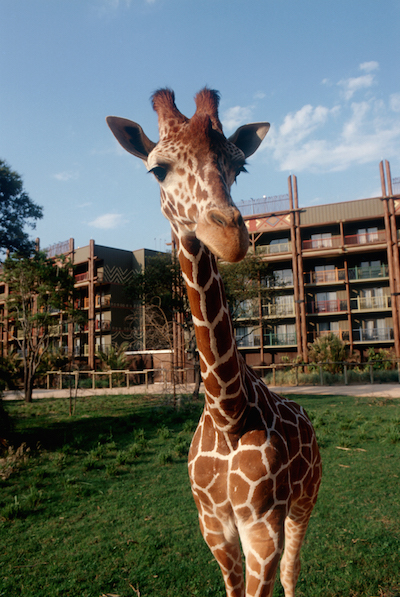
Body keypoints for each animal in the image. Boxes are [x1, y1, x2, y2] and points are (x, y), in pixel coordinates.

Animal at [106, 88, 322, 596]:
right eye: (157, 169)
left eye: (238, 168)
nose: (229, 235)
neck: (228, 414)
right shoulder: (213, 526)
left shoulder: (262, 528)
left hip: (305, 500)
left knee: (293, 571)